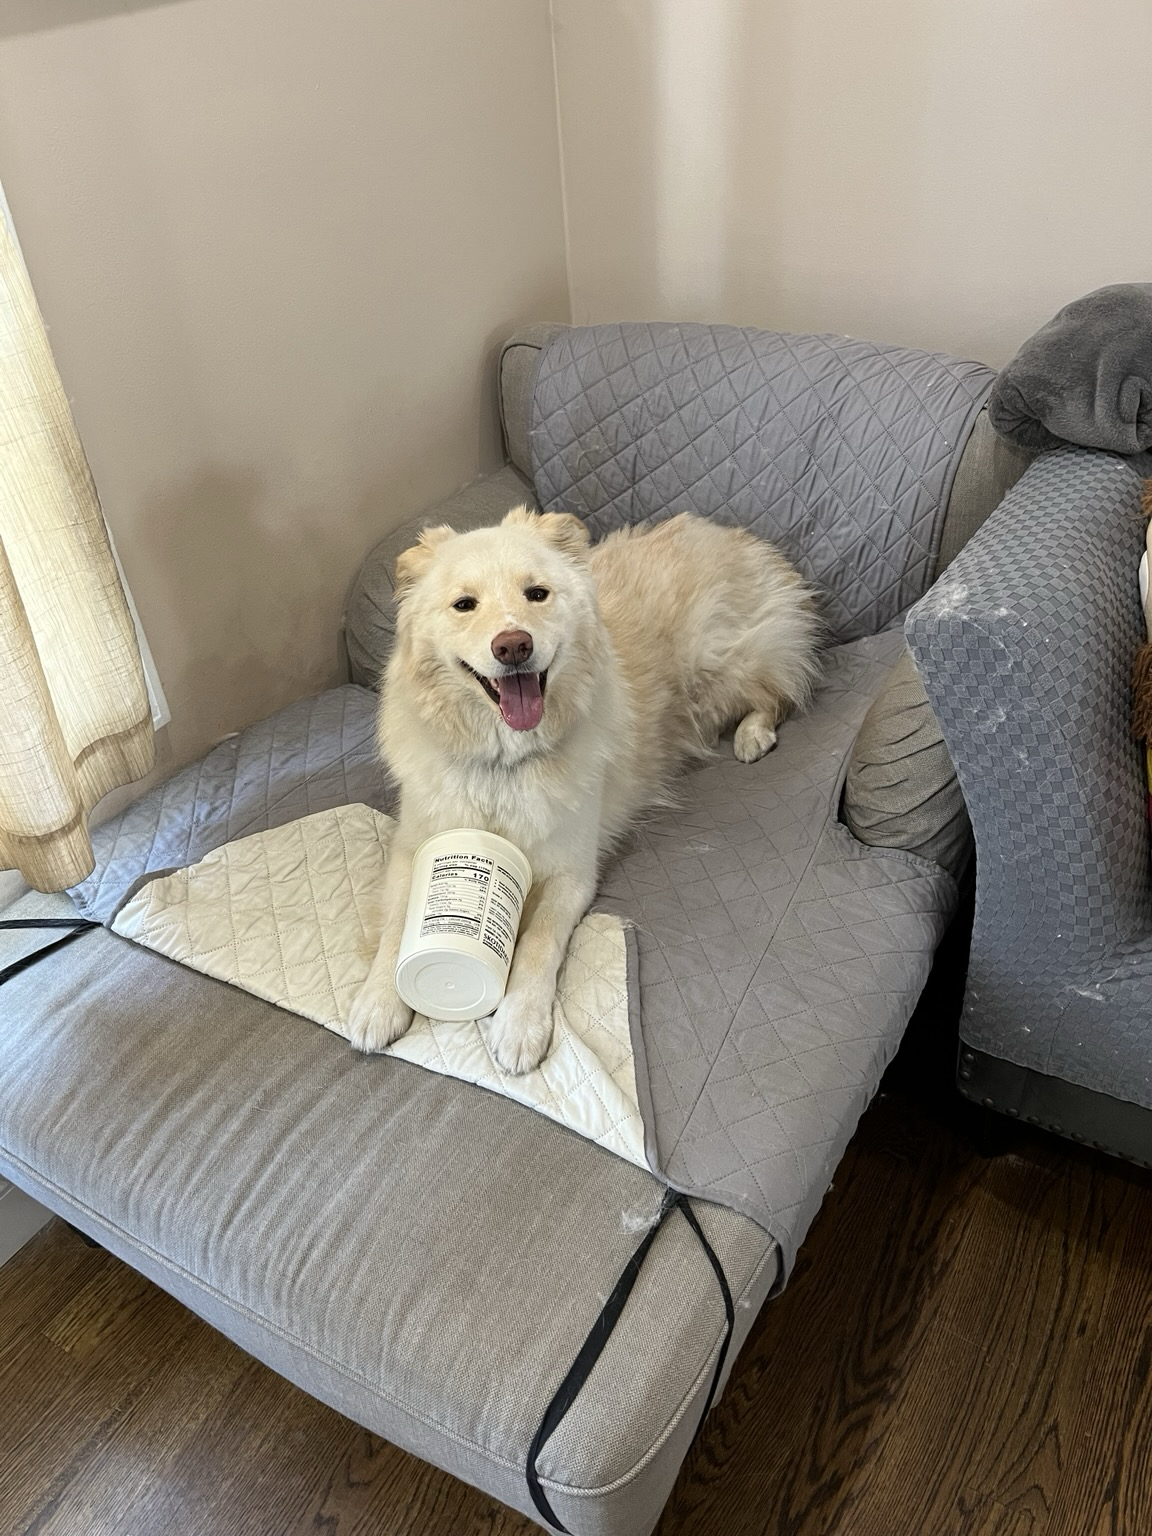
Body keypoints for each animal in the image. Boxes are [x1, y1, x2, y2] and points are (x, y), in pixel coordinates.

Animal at [347, 506, 821, 1074]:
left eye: (537, 594)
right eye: (464, 605)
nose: (514, 645)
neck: (505, 764)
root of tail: (730, 534)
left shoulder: (572, 872)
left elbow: (538, 943)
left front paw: (521, 1025)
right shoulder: (414, 847)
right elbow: (397, 925)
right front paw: (377, 1002)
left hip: (723, 671)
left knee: (780, 692)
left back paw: (753, 735)